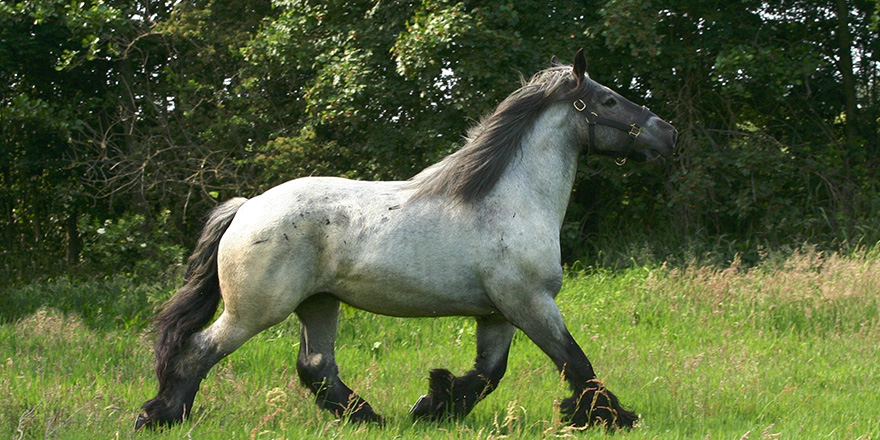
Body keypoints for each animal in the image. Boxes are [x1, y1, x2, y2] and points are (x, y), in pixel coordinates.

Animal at [134, 49, 676, 432]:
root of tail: (245, 208)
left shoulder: (498, 312)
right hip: (254, 311)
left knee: (316, 365)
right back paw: (160, 415)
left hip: (318, 302)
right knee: (200, 350)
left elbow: (489, 372)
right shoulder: (530, 303)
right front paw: (615, 418)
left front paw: (433, 404)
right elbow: (575, 362)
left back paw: (368, 417)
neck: (509, 199)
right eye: (608, 100)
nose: (667, 134)